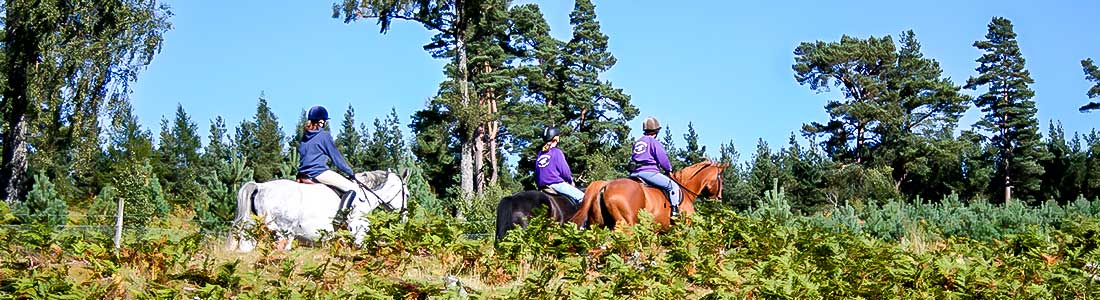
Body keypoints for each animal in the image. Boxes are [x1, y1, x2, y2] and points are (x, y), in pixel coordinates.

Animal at [225, 169, 411, 250]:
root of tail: (261, 186)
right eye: (407, 195)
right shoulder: (359, 227)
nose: (404, 218)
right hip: (282, 230)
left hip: (253, 229)